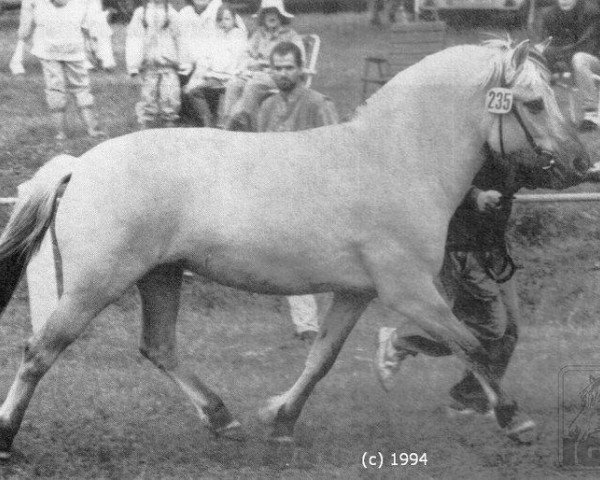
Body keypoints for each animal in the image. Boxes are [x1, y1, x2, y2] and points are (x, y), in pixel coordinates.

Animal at [0, 39, 588, 456]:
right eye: (534, 103)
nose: (583, 164)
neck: (395, 159)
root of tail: (79, 164)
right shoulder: (410, 291)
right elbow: (473, 344)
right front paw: (517, 421)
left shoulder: (356, 293)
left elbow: (321, 359)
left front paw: (280, 419)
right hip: (97, 283)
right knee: (41, 350)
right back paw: (8, 438)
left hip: (160, 276)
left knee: (159, 347)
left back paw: (224, 419)